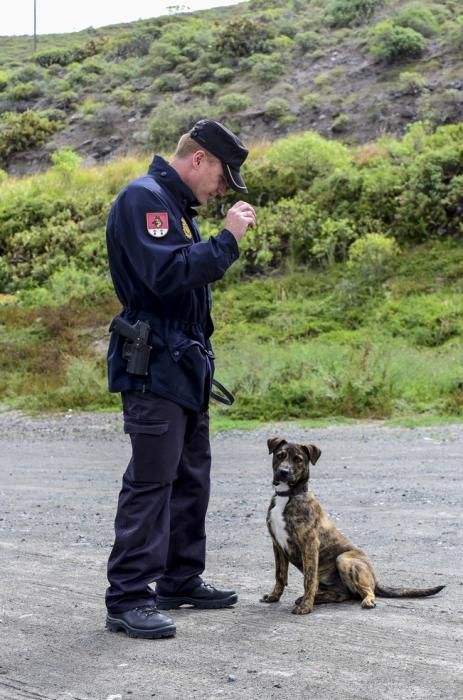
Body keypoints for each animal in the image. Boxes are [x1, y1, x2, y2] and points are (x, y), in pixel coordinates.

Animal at [260, 440, 446, 616]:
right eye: (280, 455)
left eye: (298, 459)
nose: (284, 472)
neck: (287, 496)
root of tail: (375, 578)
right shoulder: (277, 545)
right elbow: (280, 575)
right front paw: (274, 596)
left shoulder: (310, 544)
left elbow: (309, 580)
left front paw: (306, 606)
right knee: (344, 595)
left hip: (344, 559)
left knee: (366, 591)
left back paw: (366, 600)